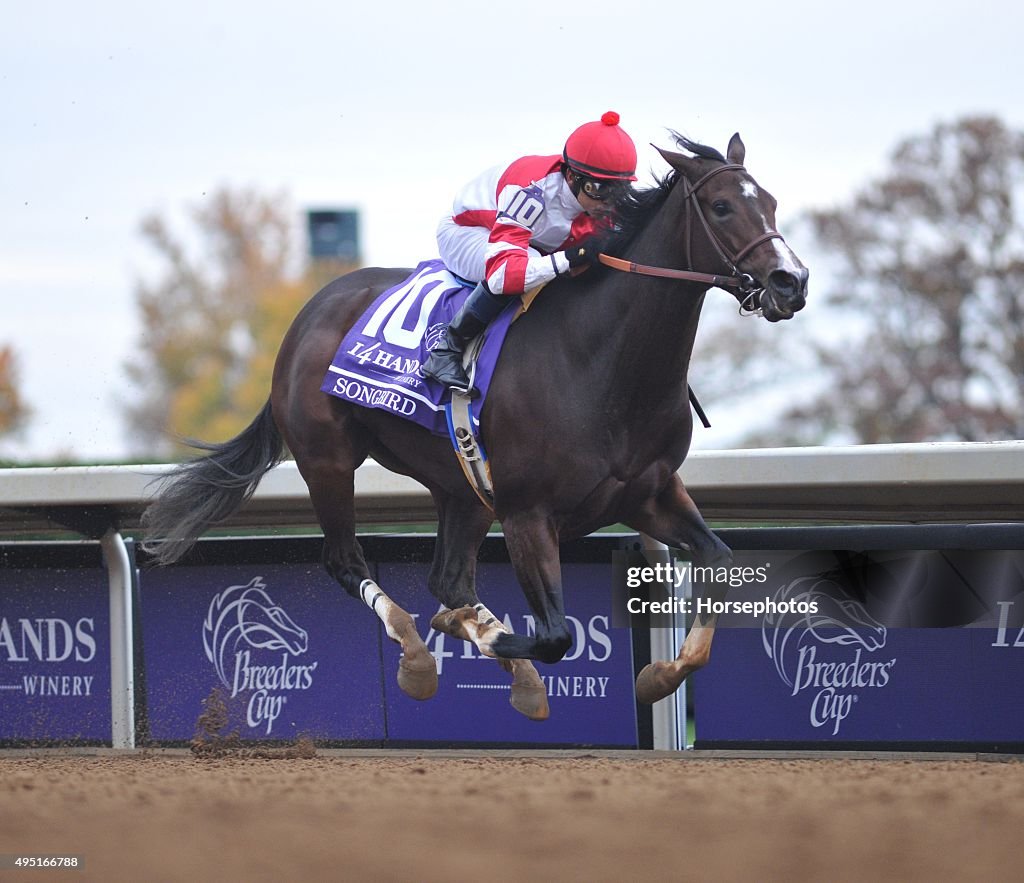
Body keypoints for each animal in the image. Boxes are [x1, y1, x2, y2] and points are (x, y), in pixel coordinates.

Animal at [142, 133, 806, 725]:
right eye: (722, 207)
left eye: (771, 202)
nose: (790, 281)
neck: (602, 361)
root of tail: (310, 311)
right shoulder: (527, 513)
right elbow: (556, 636)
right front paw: (478, 639)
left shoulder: (647, 492)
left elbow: (719, 563)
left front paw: (659, 676)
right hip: (328, 461)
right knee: (348, 562)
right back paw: (418, 657)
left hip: (461, 487)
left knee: (448, 577)